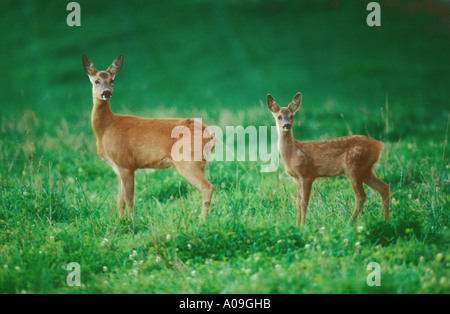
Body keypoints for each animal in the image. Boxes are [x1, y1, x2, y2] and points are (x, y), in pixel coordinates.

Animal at [82, 55, 216, 220]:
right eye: (96, 81)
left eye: (112, 80)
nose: (106, 92)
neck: (106, 128)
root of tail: (211, 134)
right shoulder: (117, 167)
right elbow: (120, 200)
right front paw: (120, 221)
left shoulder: (126, 163)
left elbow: (129, 199)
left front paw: (131, 222)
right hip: (201, 163)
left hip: (186, 160)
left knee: (207, 187)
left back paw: (202, 221)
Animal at [268, 92, 390, 224]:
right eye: (279, 117)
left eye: (292, 116)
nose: (287, 125)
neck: (293, 153)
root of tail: (379, 145)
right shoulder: (297, 178)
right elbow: (298, 203)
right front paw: (297, 225)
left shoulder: (307, 174)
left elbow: (304, 204)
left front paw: (303, 226)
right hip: (365, 169)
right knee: (384, 187)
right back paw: (385, 219)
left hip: (353, 167)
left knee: (361, 196)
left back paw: (349, 222)